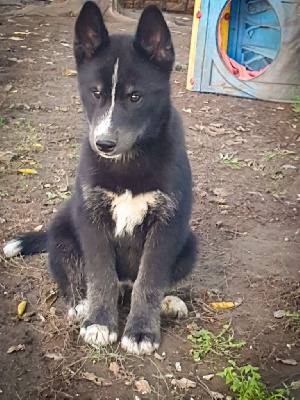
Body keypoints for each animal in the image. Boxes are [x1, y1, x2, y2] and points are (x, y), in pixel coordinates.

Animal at [5, 2, 197, 354]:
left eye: (135, 97)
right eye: (95, 93)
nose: (103, 143)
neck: (128, 162)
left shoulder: (167, 223)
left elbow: (150, 280)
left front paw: (141, 330)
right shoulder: (92, 218)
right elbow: (100, 274)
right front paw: (98, 322)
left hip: (189, 242)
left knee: (142, 282)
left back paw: (168, 301)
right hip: (63, 231)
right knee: (73, 275)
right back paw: (81, 304)